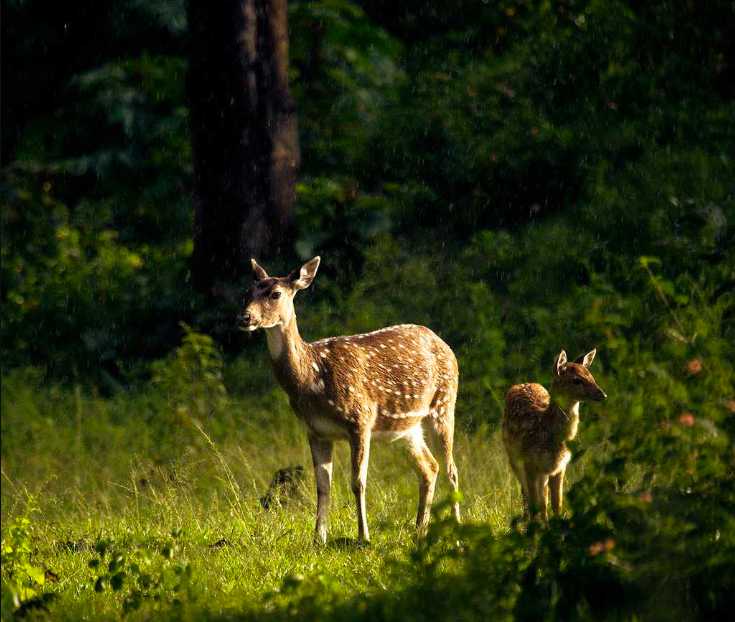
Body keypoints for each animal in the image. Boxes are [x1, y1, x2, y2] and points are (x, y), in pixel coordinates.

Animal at [242, 258, 460, 544]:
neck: (313, 378)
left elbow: (358, 482)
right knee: (429, 467)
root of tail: (444, 344)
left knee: (451, 469)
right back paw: (419, 530)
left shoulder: (360, 419)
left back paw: (457, 531)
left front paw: (363, 537)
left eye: (275, 293)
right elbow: (323, 486)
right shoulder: (316, 431)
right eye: (247, 293)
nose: (244, 317)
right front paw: (318, 539)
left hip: (444, 404)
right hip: (407, 427)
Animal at [504, 352, 608, 520]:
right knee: (526, 494)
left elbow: (556, 504)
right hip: (514, 459)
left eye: (591, 375)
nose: (602, 395)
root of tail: (522, 384)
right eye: (576, 380)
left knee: (542, 499)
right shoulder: (529, 463)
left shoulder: (560, 467)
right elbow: (535, 502)